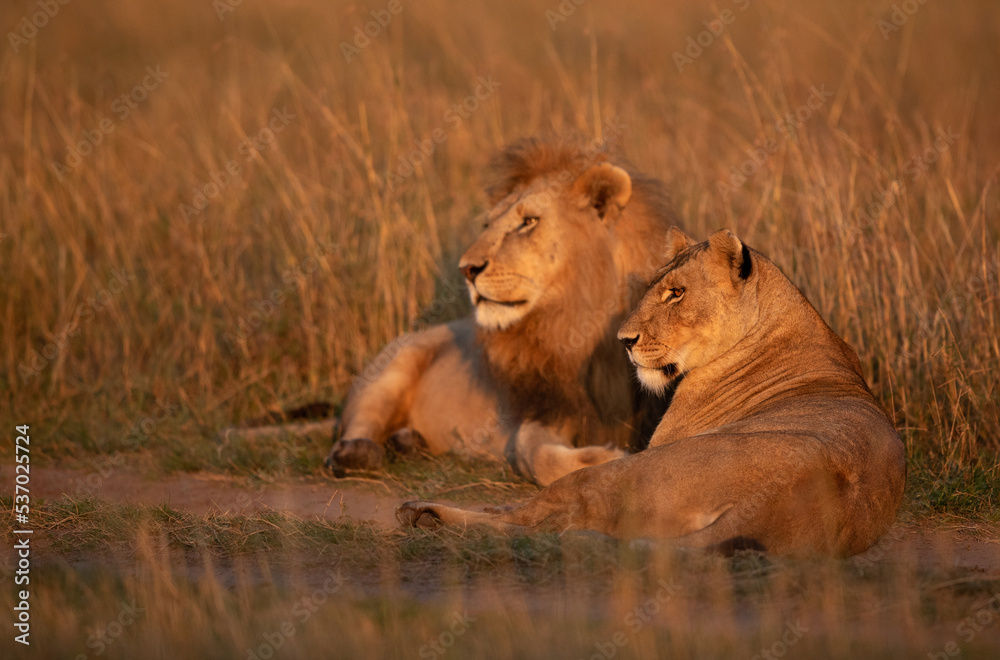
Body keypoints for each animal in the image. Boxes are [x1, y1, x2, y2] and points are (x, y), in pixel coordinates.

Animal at [326, 137, 676, 486]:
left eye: (528, 222)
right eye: (488, 224)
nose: (467, 269)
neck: (576, 315)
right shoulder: (546, 407)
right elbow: (534, 453)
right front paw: (607, 458)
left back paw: (408, 443)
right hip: (393, 366)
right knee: (362, 423)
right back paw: (354, 453)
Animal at [396, 228, 907, 557]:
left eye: (676, 293)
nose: (624, 340)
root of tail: (771, 505)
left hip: (626, 470)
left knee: (533, 522)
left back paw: (422, 513)